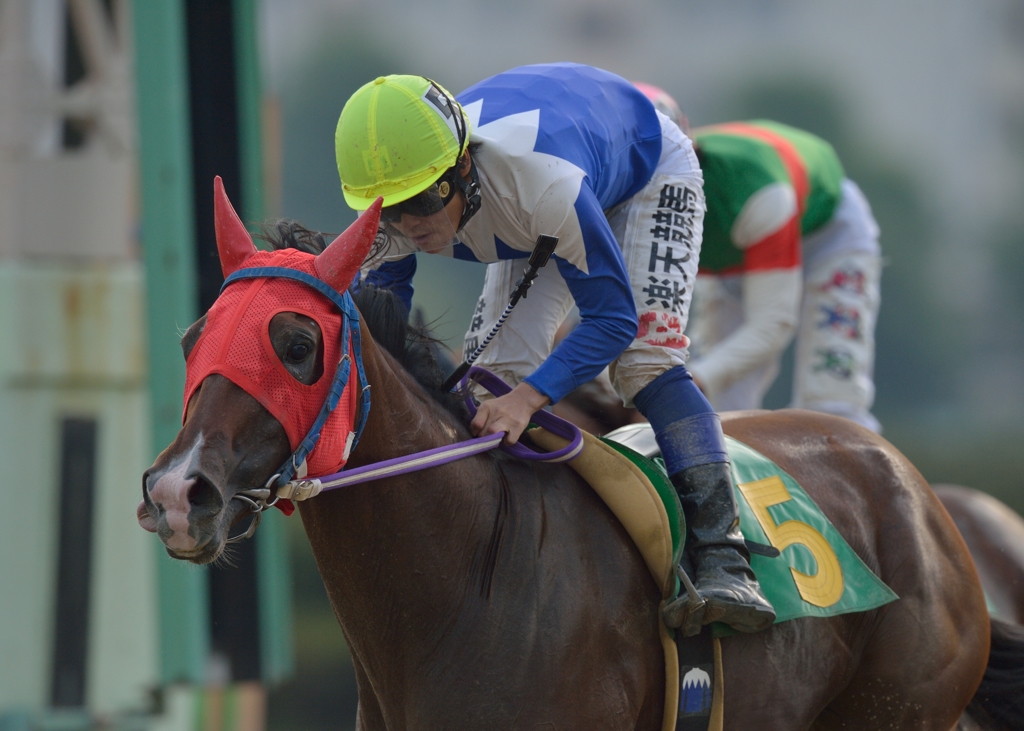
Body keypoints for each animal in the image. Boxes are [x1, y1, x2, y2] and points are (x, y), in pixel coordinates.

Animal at [140, 183, 999, 730]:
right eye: (190, 338)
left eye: (296, 345)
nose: (180, 491)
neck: (466, 578)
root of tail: (911, 484)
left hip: (900, 708)